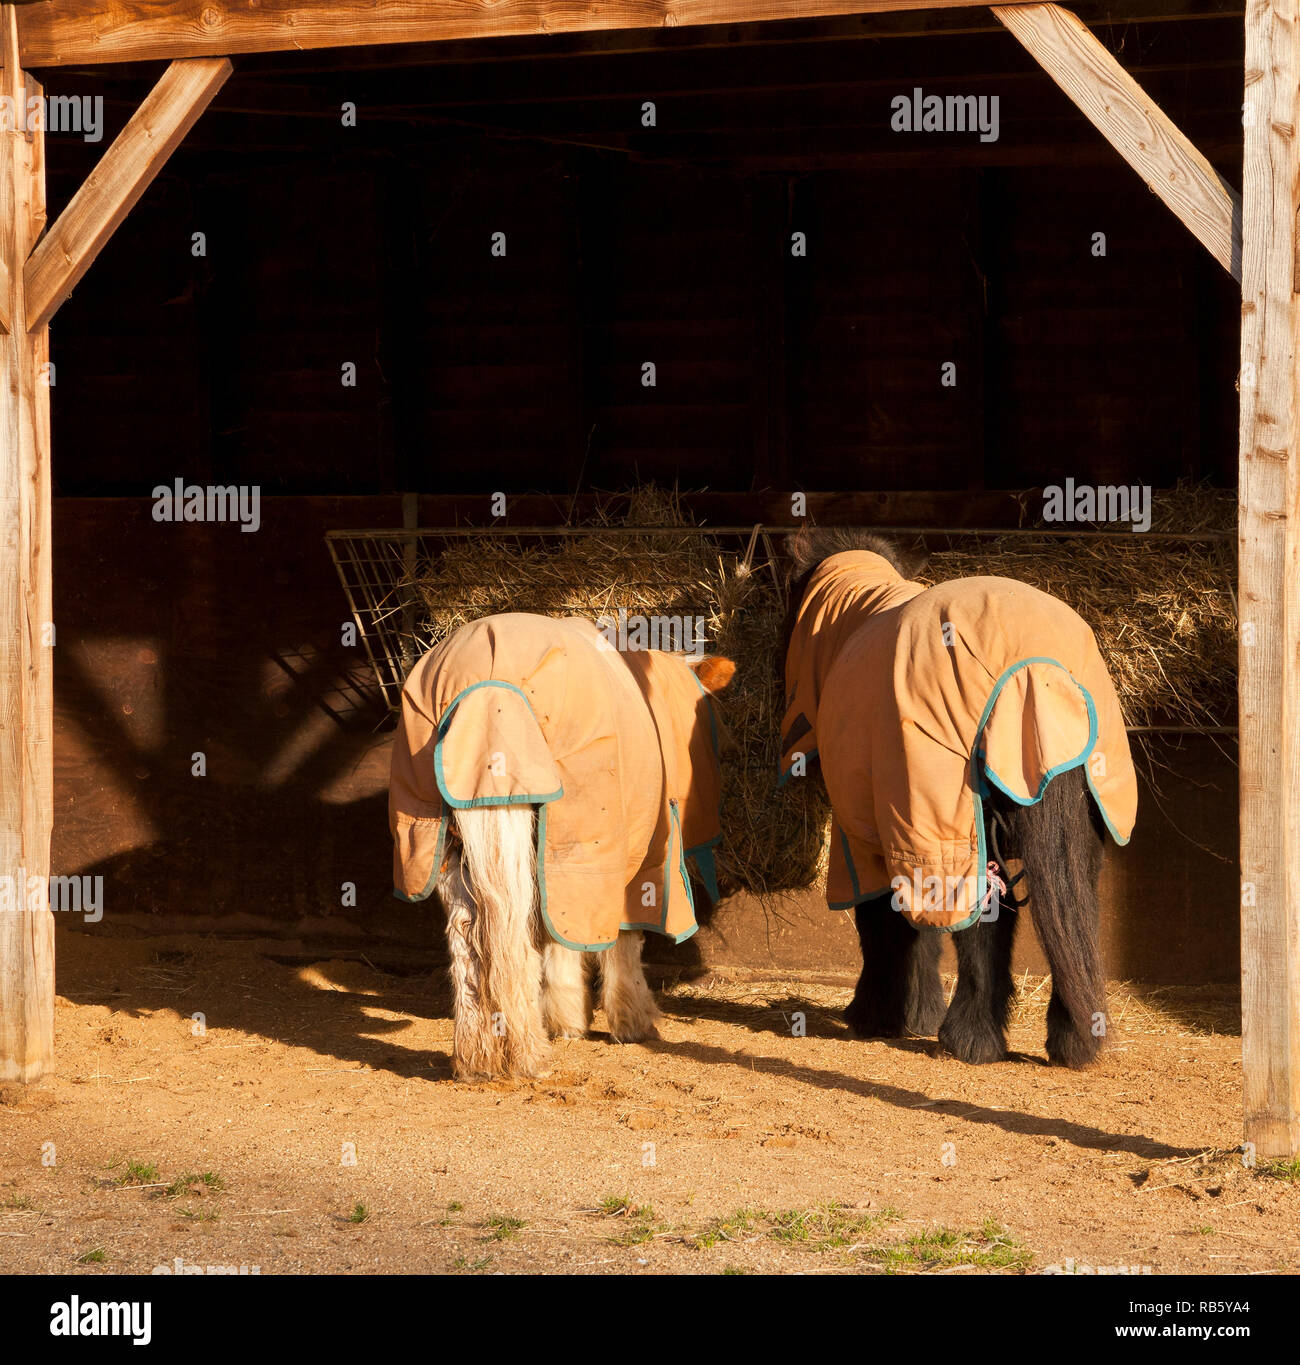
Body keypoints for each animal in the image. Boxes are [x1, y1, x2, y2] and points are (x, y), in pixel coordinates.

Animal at [385, 614, 737, 1081]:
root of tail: (482, 682)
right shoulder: (623, 853)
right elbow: (620, 938)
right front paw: (624, 1020)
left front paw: (568, 1016)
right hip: (568, 832)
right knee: (515, 935)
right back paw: (527, 1055)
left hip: (443, 843)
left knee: (469, 940)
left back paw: (478, 1059)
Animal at [775, 526, 1130, 1070]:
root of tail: (1035, 669)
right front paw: (912, 1012)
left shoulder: (868, 833)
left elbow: (884, 923)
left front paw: (881, 1013)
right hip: (1069, 831)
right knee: (1071, 919)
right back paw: (1072, 1039)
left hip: (956, 820)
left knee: (983, 919)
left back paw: (971, 1039)